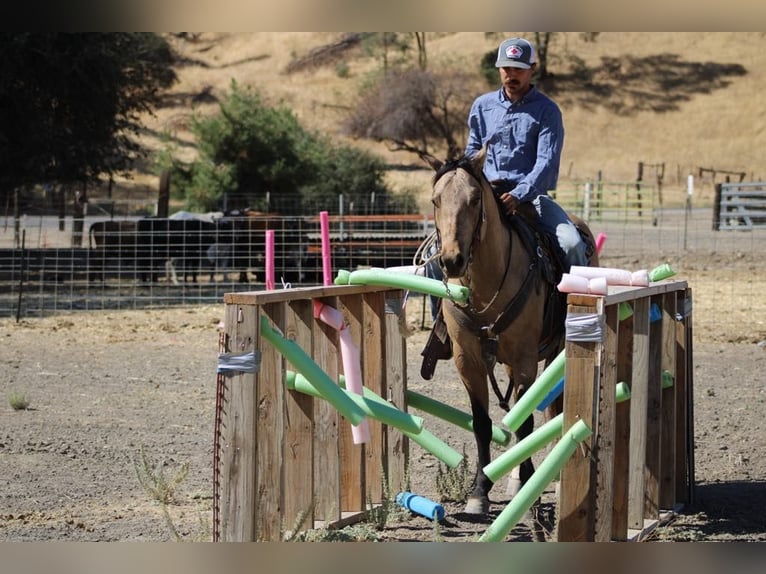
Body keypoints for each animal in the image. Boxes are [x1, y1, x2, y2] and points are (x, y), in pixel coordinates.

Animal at [423, 148, 599, 516]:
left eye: (475, 199)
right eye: (435, 200)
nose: (452, 260)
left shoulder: (525, 359)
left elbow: (526, 423)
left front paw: (529, 486)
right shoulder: (468, 361)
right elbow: (482, 423)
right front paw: (480, 492)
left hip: (554, 353)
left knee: (550, 409)